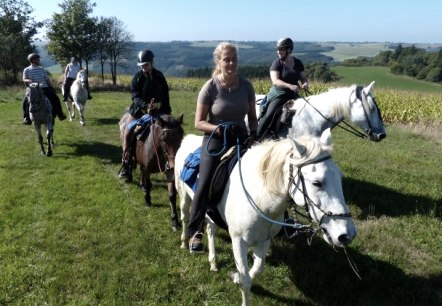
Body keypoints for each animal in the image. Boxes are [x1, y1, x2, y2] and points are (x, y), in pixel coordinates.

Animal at [175, 129, 356, 306]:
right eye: (317, 183)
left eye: (340, 178)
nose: (347, 234)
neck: (259, 196)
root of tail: (188, 138)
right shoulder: (238, 241)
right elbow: (246, 281)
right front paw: (240, 282)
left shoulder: (264, 239)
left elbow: (256, 270)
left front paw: (235, 276)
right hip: (185, 197)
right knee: (185, 218)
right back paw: (185, 242)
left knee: (211, 230)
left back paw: (213, 262)